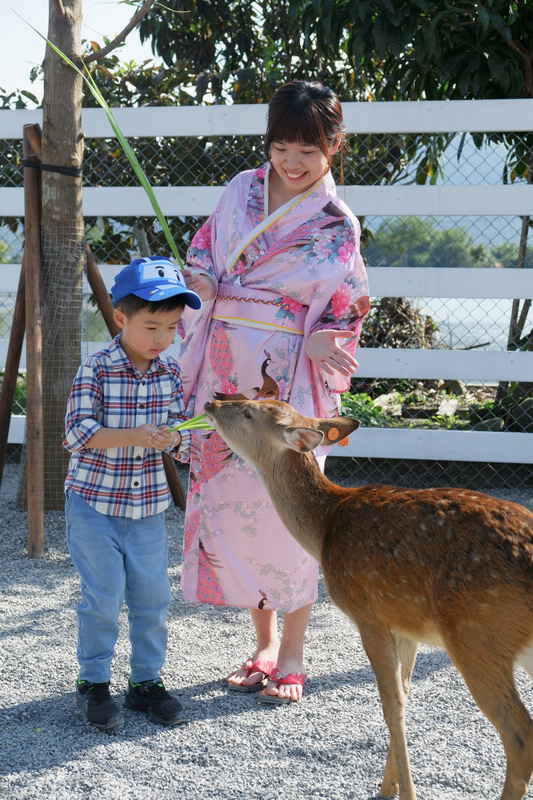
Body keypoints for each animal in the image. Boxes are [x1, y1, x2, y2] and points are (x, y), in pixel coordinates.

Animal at [205, 396, 533, 796]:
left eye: (249, 412)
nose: (212, 402)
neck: (325, 529)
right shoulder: (406, 621)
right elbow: (405, 696)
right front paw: (389, 786)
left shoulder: (368, 613)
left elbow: (390, 705)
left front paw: (399, 793)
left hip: (477, 634)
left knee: (520, 736)